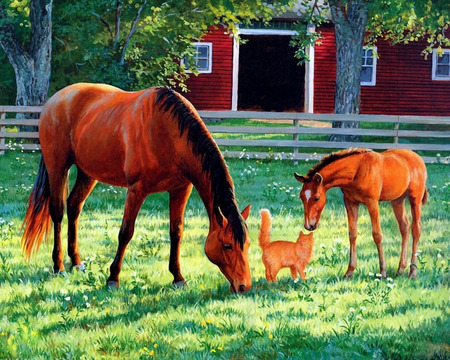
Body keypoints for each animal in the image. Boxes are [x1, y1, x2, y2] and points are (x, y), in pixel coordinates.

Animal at [22, 83, 253, 294]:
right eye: (227, 245)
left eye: (248, 244)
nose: (244, 286)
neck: (166, 131)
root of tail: (54, 100)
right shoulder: (136, 190)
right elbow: (126, 232)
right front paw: (112, 279)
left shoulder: (180, 190)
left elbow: (176, 232)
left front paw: (178, 278)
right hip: (57, 168)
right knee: (58, 212)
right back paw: (58, 266)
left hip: (88, 174)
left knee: (74, 206)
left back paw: (77, 262)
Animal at [294, 148, 428, 280]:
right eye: (301, 197)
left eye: (316, 198)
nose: (309, 226)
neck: (357, 170)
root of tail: (418, 158)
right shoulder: (350, 202)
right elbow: (352, 234)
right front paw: (349, 272)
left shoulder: (372, 202)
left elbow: (377, 235)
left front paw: (383, 272)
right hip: (397, 200)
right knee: (404, 226)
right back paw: (400, 270)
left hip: (415, 199)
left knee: (416, 229)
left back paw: (413, 272)